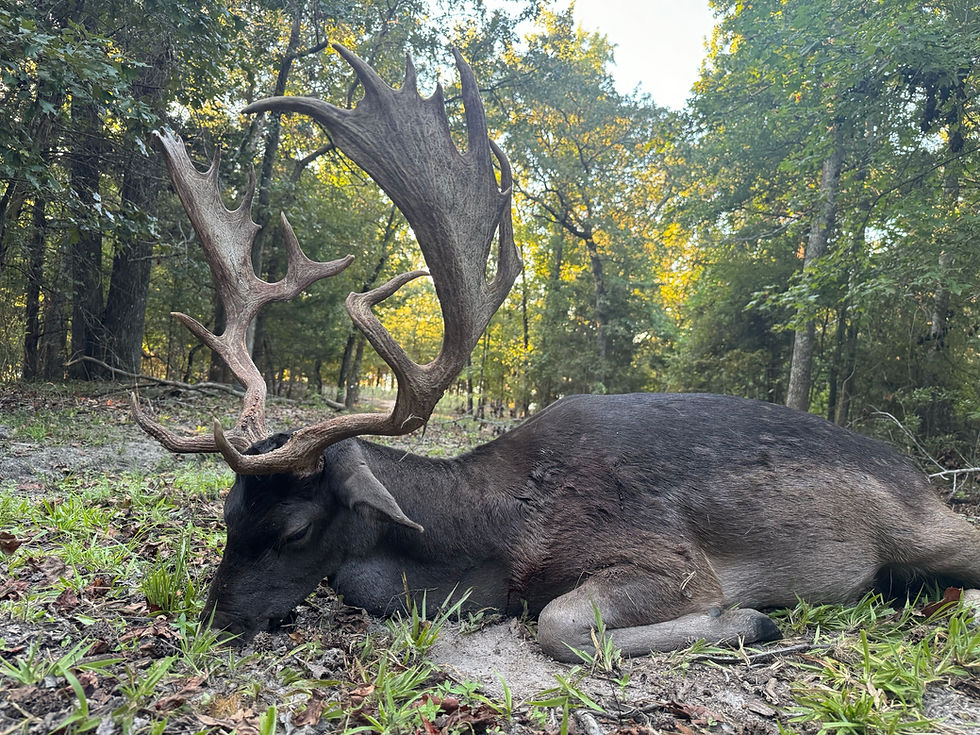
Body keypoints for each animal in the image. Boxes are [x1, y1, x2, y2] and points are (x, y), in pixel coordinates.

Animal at [132, 45, 980, 663]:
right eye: (227, 511)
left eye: (296, 530)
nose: (212, 620)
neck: (495, 534)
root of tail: (921, 473)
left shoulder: (670, 555)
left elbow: (559, 622)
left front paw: (749, 619)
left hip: (927, 525)